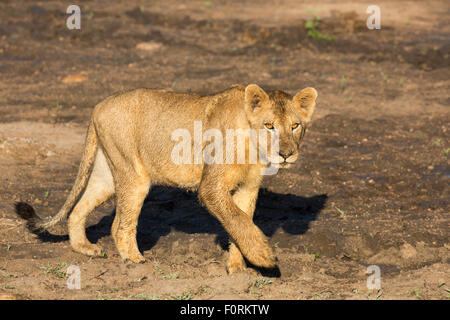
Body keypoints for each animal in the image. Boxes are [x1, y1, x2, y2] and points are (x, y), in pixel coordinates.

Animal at [15, 84, 318, 274]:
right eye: (269, 126)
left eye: (295, 125)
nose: (286, 154)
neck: (253, 146)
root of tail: (98, 106)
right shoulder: (211, 187)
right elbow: (238, 221)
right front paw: (264, 257)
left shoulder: (247, 189)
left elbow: (241, 223)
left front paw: (238, 269)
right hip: (134, 175)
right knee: (120, 225)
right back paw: (135, 261)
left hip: (106, 175)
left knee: (79, 209)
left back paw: (85, 249)